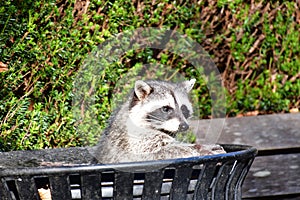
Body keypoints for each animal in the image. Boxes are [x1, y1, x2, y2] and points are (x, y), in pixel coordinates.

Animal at [94, 79, 225, 163]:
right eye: (166, 109)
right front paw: (194, 151)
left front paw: (199, 147)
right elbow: (160, 153)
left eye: (183, 108)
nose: (184, 126)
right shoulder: (133, 144)